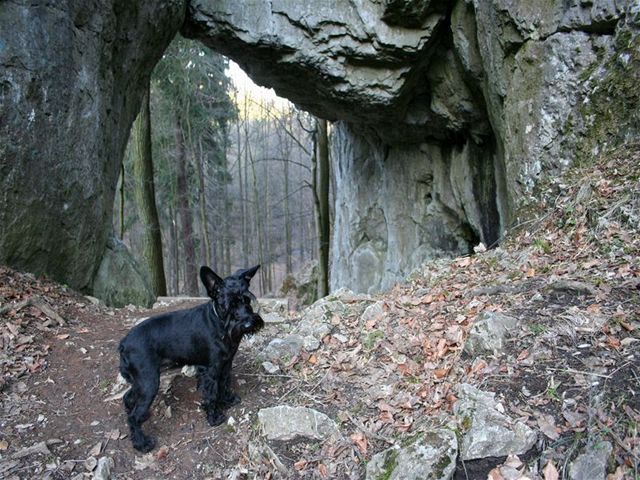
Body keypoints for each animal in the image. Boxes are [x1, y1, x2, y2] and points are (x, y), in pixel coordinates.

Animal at [117, 264, 262, 452]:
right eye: (227, 305)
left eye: (247, 300)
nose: (248, 323)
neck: (219, 323)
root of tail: (124, 344)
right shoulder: (210, 370)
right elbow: (211, 395)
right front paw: (214, 417)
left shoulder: (225, 364)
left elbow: (224, 384)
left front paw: (228, 400)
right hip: (149, 382)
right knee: (134, 416)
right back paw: (142, 443)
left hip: (141, 381)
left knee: (128, 398)